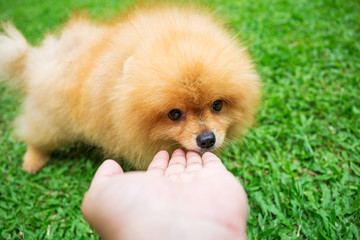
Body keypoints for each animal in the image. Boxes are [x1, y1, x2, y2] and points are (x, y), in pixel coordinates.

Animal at [0, 3, 258, 172]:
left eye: (217, 105)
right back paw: (33, 161)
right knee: (36, 134)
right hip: (52, 120)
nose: (206, 139)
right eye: (174, 114)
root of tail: (39, 60)